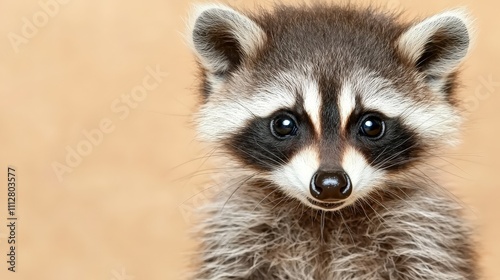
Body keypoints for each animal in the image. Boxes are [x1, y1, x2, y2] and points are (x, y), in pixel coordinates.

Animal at [186, 2, 478, 280]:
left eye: (372, 126)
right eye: (283, 124)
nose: (330, 184)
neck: (327, 217)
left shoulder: (423, 234)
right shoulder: (238, 231)